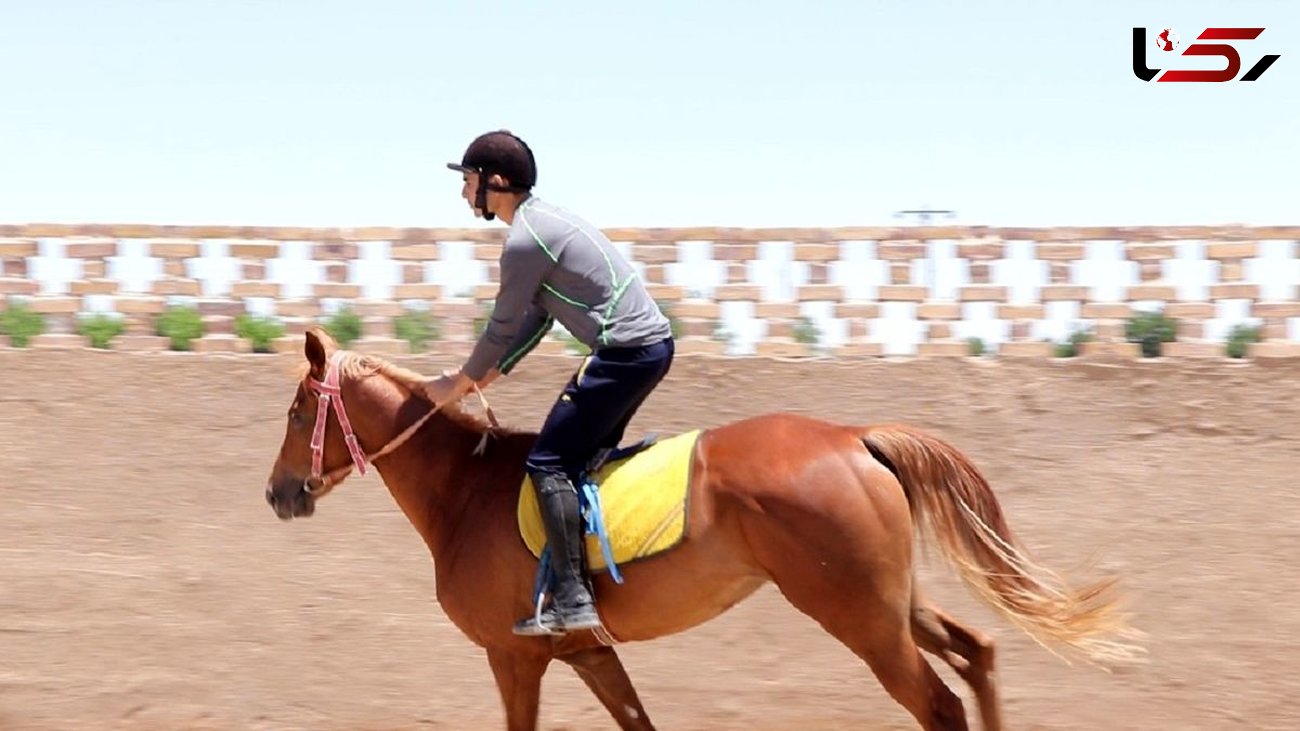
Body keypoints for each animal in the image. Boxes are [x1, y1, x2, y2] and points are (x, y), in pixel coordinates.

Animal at [261, 327, 1138, 723]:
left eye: (300, 409)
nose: (279, 492)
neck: (464, 491)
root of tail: (855, 435)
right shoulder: (587, 652)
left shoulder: (513, 657)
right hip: (889, 602)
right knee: (979, 650)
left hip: (857, 615)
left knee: (938, 702)